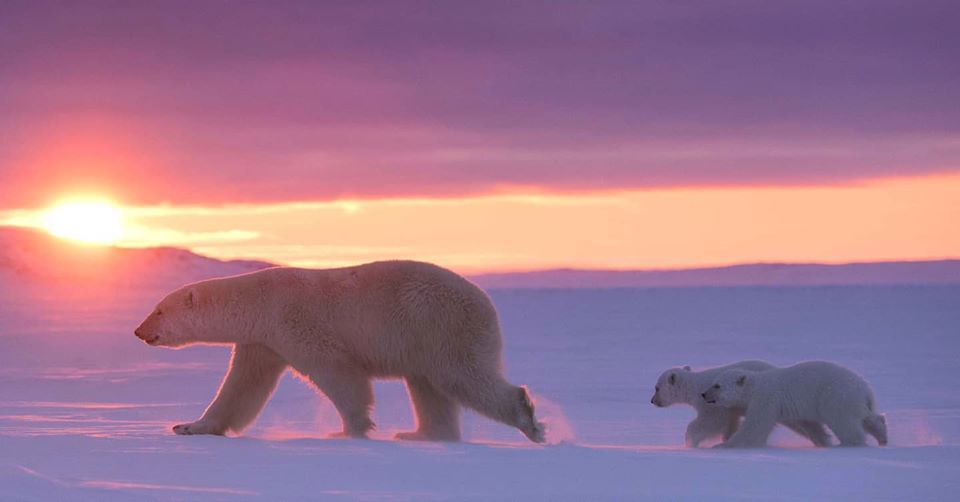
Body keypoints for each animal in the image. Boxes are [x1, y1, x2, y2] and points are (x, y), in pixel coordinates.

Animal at [134, 260, 546, 443]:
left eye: (159, 309)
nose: (139, 331)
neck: (259, 301)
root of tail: (486, 302)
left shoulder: (293, 321)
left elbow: (337, 371)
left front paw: (351, 430)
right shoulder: (262, 341)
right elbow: (241, 387)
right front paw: (189, 426)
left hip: (440, 325)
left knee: (463, 376)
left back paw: (528, 419)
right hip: (425, 341)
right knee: (429, 388)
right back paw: (420, 434)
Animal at [651, 361, 832, 447]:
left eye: (657, 388)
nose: (652, 401)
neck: (696, 386)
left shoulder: (713, 403)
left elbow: (710, 422)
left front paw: (691, 442)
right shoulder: (729, 409)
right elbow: (730, 423)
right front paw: (727, 438)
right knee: (803, 423)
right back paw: (823, 440)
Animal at [702, 361, 888, 448]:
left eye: (717, 385)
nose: (704, 394)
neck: (754, 387)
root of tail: (865, 389)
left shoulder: (766, 399)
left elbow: (755, 426)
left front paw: (723, 445)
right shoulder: (794, 408)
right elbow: (809, 425)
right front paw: (823, 441)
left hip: (837, 397)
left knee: (845, 423)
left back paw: (850, 444)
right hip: (856, 401)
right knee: (869, 418)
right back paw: (882, 437)